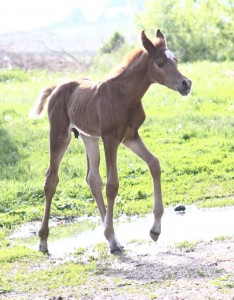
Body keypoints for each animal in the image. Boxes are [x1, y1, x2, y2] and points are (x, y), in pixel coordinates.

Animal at [32, 29, 191, 254]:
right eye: (160, 63)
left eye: (175, 60)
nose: (186, 84)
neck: (124, 95)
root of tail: (57, 87)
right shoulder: (110, 138)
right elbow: (113, 184)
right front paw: (113, 234)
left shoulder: (130, 136)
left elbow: (154, 164)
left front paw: (155, 230)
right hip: (59, 136)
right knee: (51, 180)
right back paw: (44, 241)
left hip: (89, 137)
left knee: (92, 178)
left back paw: (112, 239)